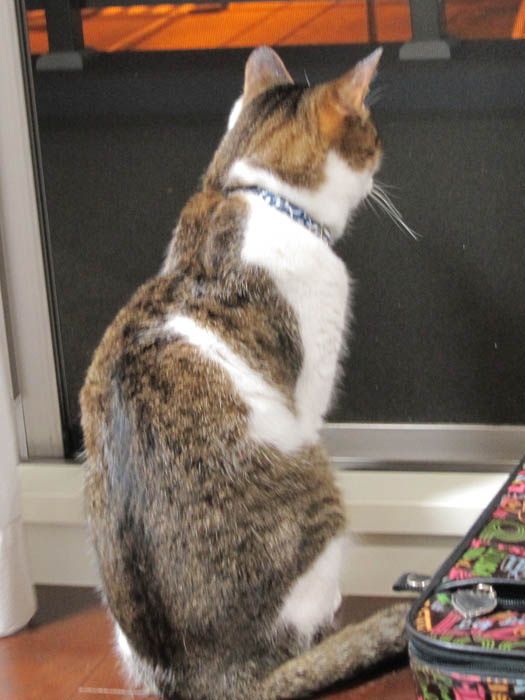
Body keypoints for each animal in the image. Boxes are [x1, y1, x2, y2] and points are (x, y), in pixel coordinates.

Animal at [80, 46, 409, 700]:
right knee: (307, 633)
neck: (253, 192)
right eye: (371, 135)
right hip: (316, 487)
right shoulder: (310, 394)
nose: (382, 155)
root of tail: (212, 678)